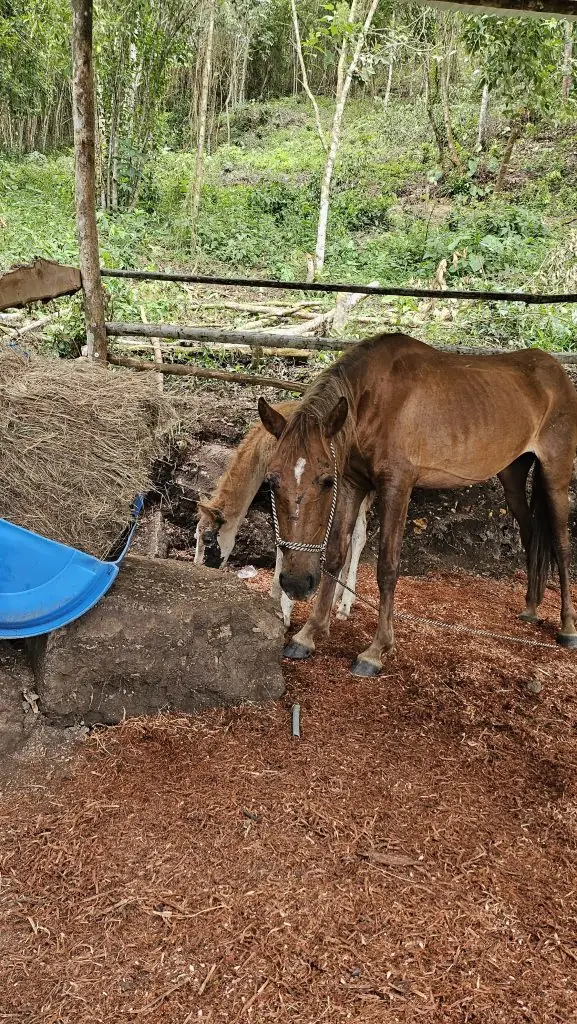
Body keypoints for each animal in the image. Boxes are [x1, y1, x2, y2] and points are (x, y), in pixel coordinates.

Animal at [194, 400, 373, 625]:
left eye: (208, 538)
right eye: (196, 536)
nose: (198, 568)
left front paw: (286, 610)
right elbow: (281, 543)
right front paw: (274, 596)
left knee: (359, 536)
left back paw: (344, 605)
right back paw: (336, 599)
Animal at [258, 332, 577, 676]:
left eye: (326, 481)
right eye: (272, 481)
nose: (295, 583)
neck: (375, 398)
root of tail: (556, 372)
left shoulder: (396, 486)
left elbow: (387, 567)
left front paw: (376, 651)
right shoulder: (353, 483)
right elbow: (334, 556)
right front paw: (308, 634)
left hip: (555, 475)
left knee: (561, 546)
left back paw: (567, 628)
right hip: (513, 477)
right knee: (531, 536)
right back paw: (531, 607)